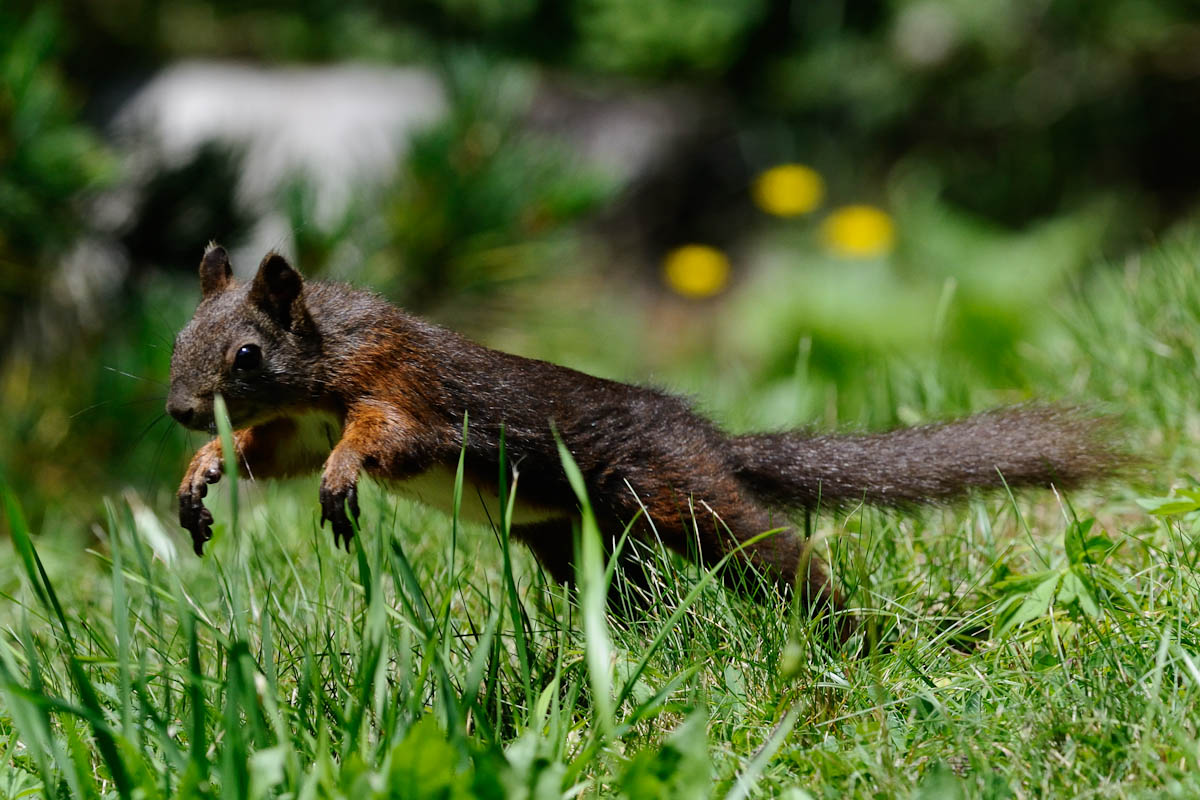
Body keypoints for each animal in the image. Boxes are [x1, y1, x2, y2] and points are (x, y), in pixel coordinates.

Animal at [167, 244, 1120, 635]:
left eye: (247, 354)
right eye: (178, 337)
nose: (179, 409)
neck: (327, 359)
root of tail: (710, 439)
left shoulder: (407, 390)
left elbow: (380, 439)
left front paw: (341, 479)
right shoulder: (298, 422)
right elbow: (271, 454)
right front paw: (202, 470)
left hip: (674, 496)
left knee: (773, 552)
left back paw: (847, 632)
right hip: (576, 539)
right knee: (637, 594)